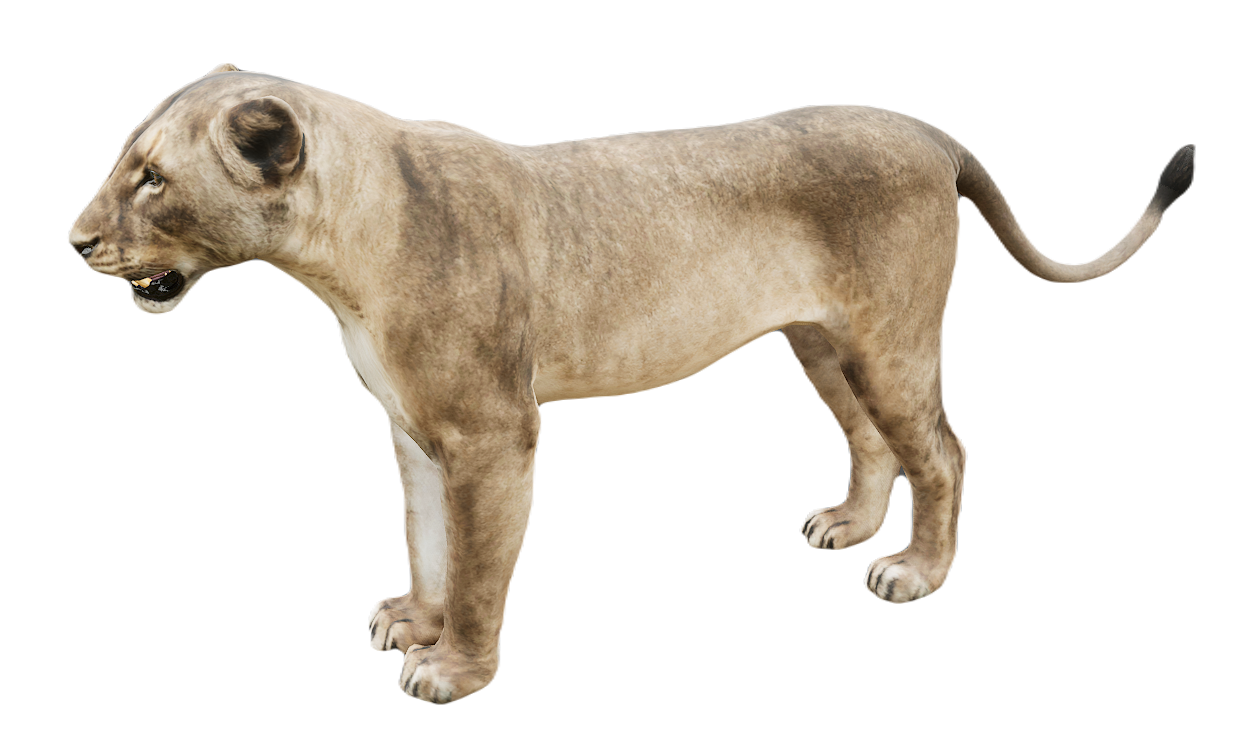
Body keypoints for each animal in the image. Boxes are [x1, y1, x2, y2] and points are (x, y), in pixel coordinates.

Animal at [68, 63, 1195, 704]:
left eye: (152, 180)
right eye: (127, 162)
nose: (75, 242)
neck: (340, 255)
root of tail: (929, 131)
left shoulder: (494, 435)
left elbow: (479, 564)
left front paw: (453, 669)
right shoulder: (414, 430)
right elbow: (427, 539)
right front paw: (413, 618)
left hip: (890, 339)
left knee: (945, 450)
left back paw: (914, 571)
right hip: (819, 342)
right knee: (871, 440)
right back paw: (846, 527)